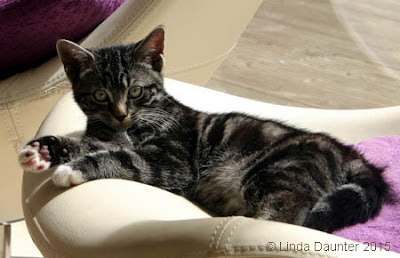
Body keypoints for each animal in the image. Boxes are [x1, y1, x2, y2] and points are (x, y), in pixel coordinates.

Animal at [18, 26, 388, 234]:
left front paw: (73, 170)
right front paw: (44, 149)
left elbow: (125, 159)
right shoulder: (105, 137)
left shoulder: (174, 162)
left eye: (136, 91)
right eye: (99, 96)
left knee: (289, 211)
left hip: (281, 170)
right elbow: (91, 144)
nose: (121, 114)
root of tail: (349, 153)